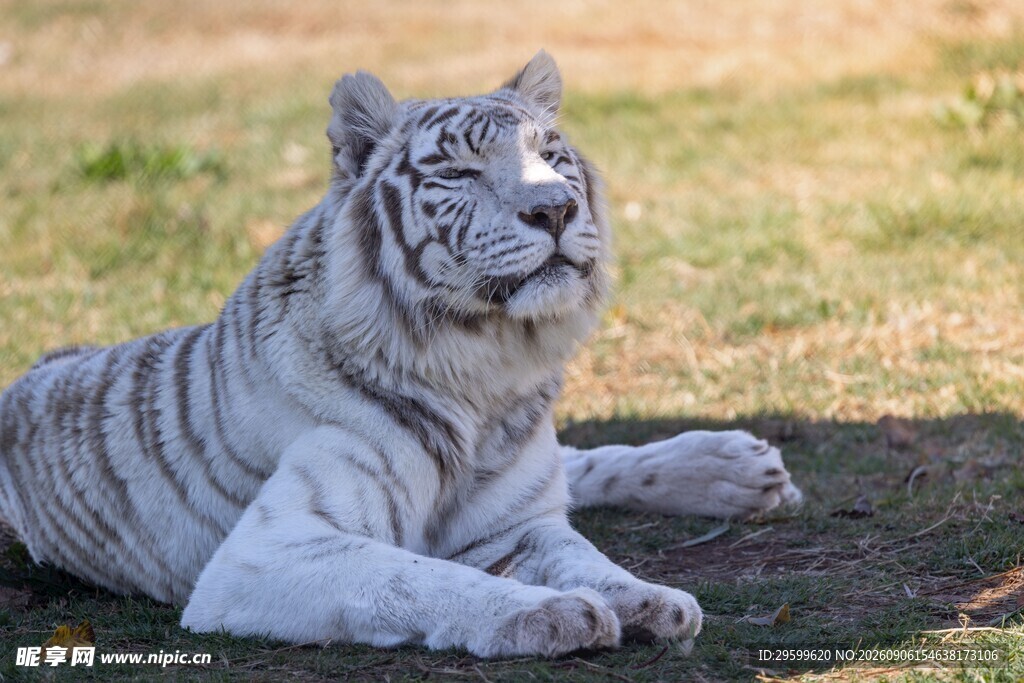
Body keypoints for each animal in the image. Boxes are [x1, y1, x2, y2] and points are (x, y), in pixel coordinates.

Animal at [0, 52, 801, 658]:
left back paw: (740, 470)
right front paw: (551, 613)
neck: (487, 373)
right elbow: (412, 576)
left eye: (551, 157)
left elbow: (585, 555)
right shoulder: (265, 552)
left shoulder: (521, 521)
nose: (555, 209)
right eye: (460, 173)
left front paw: (651, 599)